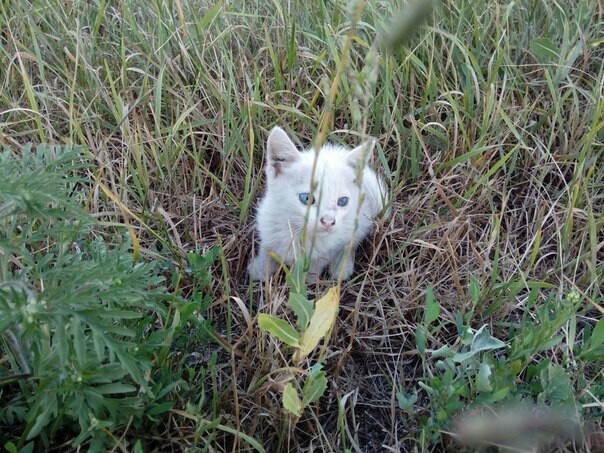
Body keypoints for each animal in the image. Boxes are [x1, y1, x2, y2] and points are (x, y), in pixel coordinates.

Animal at [249, 126, 386, 278]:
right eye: (306, 198)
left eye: (342, 201)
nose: (328, 221)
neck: (298, 232)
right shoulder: (267, 228)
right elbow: (267, 250)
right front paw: (259, 270)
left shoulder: (328, 250)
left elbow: (314, 266)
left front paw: (307, 278)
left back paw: (341, 268)